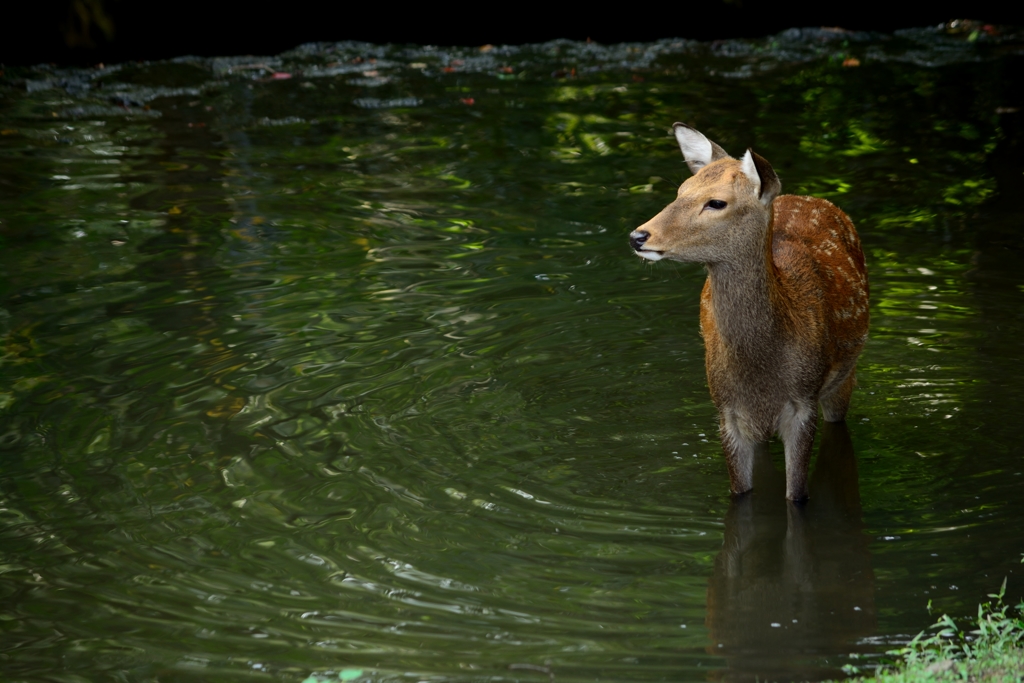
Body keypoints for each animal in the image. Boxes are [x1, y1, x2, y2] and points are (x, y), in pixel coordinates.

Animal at [626, 122, 868, 499]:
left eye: (716, 202)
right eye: (681, 190)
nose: (639, 236)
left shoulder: (803, 403)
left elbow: (797, 495)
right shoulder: (726, 410)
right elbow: (740, 491)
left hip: (845, 377)